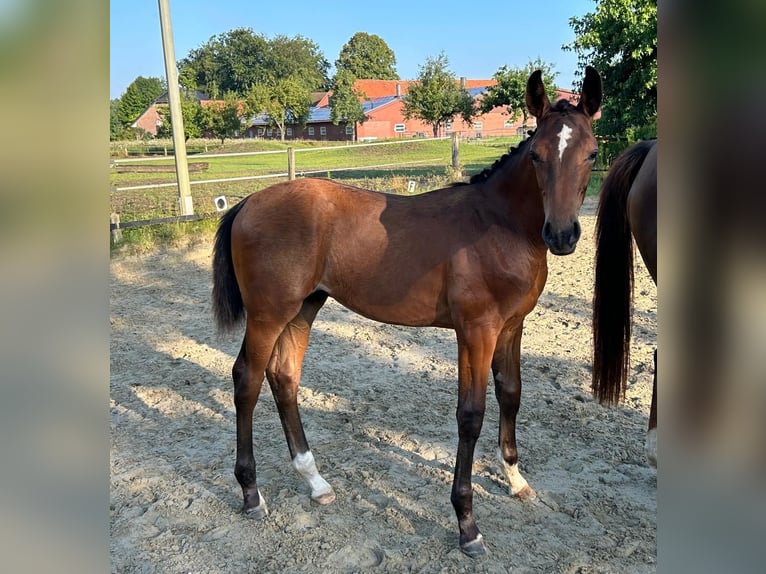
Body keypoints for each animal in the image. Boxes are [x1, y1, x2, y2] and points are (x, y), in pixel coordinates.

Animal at [213, 66, 604, 560]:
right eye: (536, 155)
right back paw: (251, 493)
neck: (499, 224)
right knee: (246, 380)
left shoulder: (512, 327)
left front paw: (516, 480)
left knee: (283, 377)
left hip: (304, 307)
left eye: (592, 153)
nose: (562, 235)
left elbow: (511, 394)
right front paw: (467, 525)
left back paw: (316, 482)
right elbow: (470, 415)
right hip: (268, 313)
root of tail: (248, 202)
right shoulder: (476, 331)